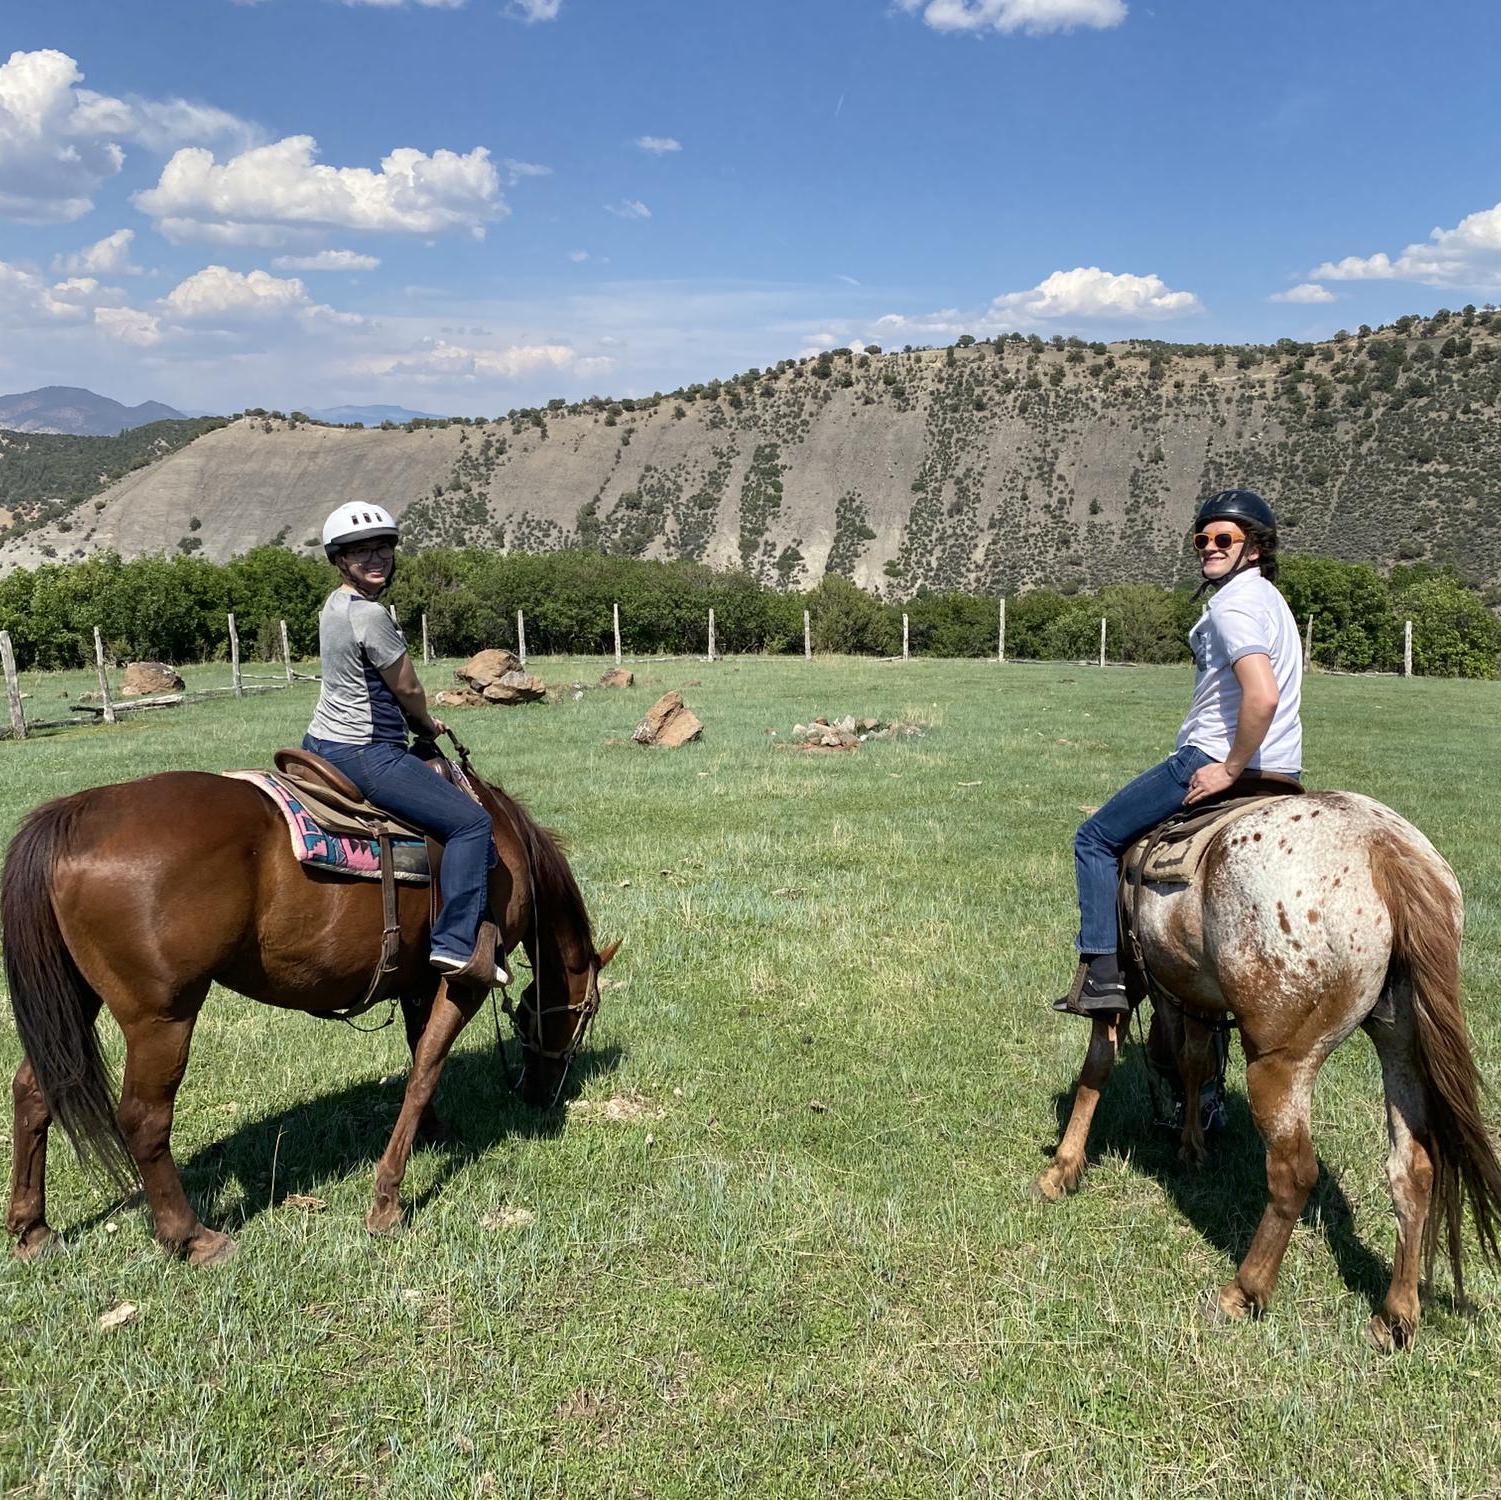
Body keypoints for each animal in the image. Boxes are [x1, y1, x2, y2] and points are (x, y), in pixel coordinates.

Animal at [2, 756, 615, 1261]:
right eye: (585, 1014)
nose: (540, 1092)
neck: (505, 845)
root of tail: (76, 813)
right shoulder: (462, 981)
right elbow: (425, 1068)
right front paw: (387, 1201)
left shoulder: (419, 981)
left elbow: (420, 1054)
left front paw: (435, 1131)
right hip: (163, 1017)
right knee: (143, 1119)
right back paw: (192, 1237)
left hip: (76, 1002)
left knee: (35, 1090)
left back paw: (34, 1230)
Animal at [1038, 792, 1501, 1357]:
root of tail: (1384, 850)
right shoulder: (1196, 993)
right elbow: (1196, 1061)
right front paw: (1192, 1147)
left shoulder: (1130, 978)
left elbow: (1097, 1068)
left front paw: (1062, 1169)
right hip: (1401, 1043)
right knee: (1412, 1170)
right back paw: (1395, 1316)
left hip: (1279, 1062)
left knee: (1293, 1172)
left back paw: (1244, 1290)